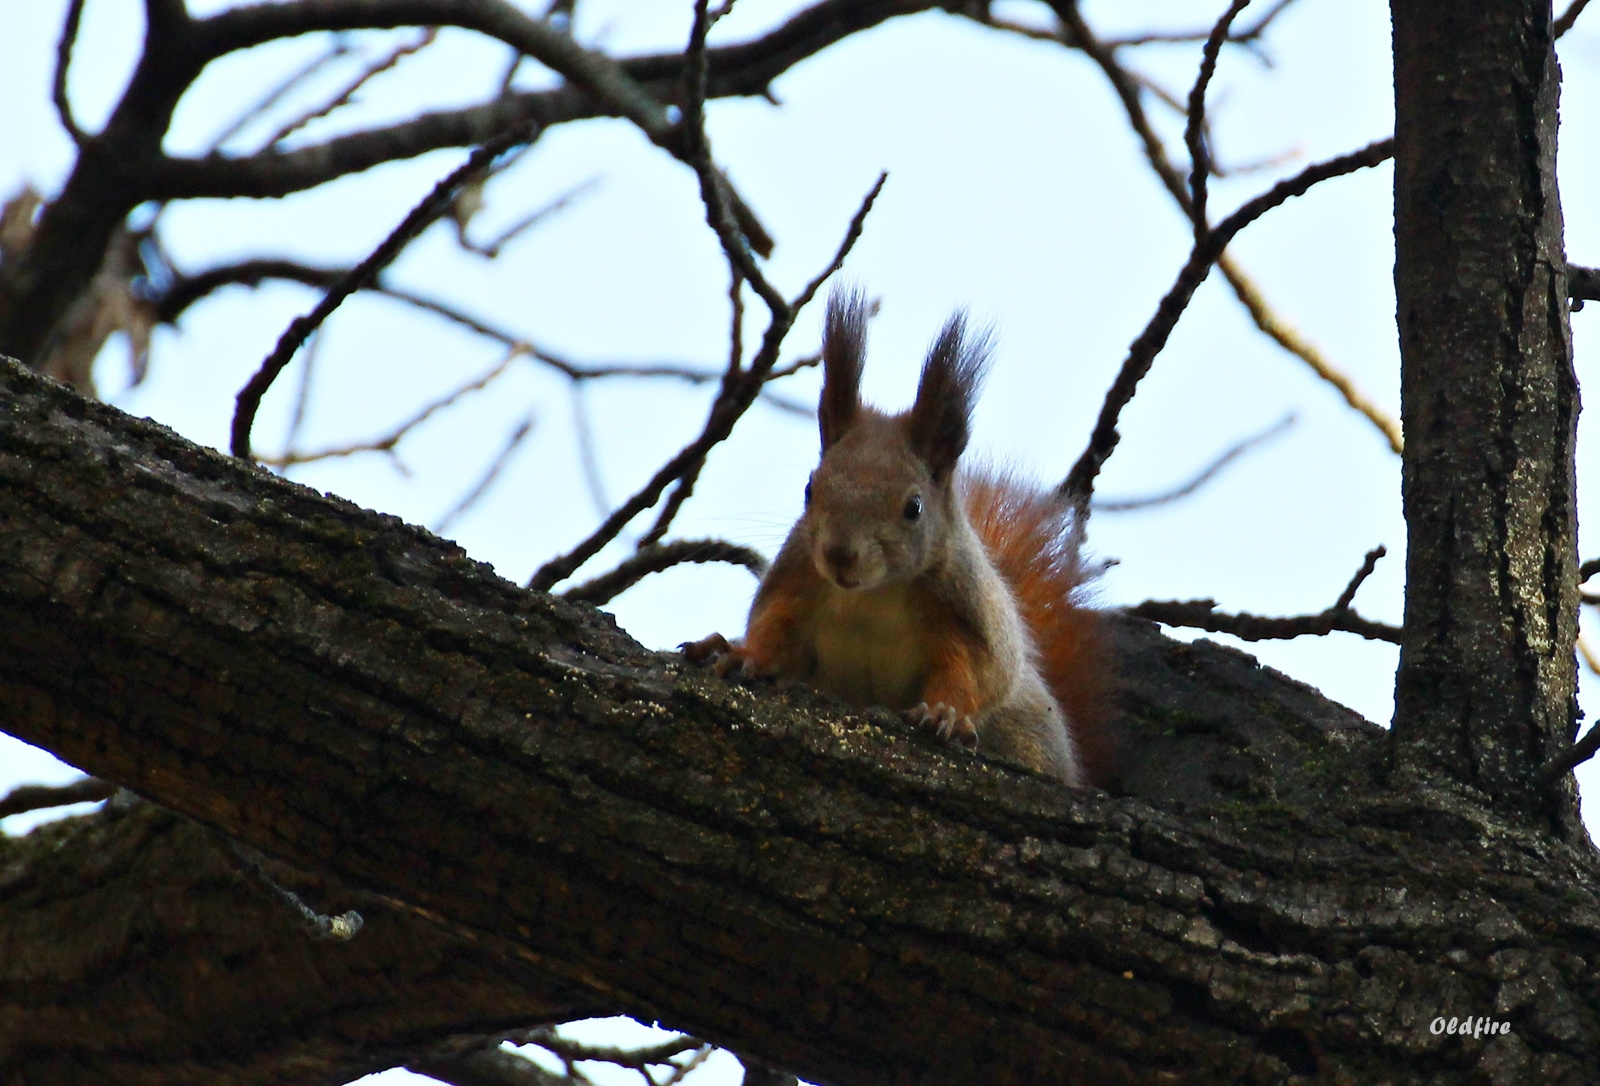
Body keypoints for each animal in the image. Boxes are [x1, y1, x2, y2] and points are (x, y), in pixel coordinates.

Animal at [681, 284, 1107, 786]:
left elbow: (974, 674)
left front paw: (944, 714)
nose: (839, 554)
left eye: (914, 508)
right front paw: (741, 652)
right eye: (810, 489)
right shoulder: (797, 583)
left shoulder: (965, 612)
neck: (872, 596)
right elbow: (775, 634)